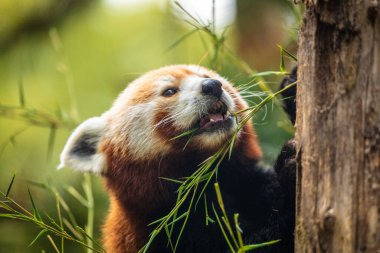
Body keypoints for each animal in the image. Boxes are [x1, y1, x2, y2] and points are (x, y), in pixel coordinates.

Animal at [60, 65, 296, 253]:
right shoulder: (169, 234)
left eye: (206, 75)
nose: (213, 85)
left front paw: (293, 92)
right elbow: (261, 241)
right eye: (170, 91)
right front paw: (288, 173)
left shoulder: (251, 184)